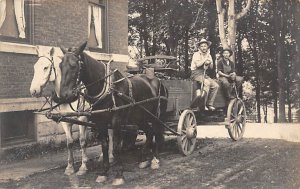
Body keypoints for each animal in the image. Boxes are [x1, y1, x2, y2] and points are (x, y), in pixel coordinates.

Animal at [29, 46, 113, 176]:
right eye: (35, 67)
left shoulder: (82, 118)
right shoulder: (65, 120)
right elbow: (69, 143)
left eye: (45, 67)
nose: (33, 91)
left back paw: (111, 156)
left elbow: (82, 141)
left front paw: (83, 166)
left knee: (111, 133)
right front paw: (70, 167)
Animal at [57, 42, 168, 185]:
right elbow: (104, 145)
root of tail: (158, 80)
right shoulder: (100, 122)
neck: (107, 89)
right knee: (149, 132)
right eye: (60, 66)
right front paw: (103, 172)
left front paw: (119, 175)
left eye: (74, 65)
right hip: (140, 117)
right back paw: (144, 159)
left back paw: (155, 159)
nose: (64, 96)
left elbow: (115, 146)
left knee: (156, 132)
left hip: (157, 116)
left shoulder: (116, 121)